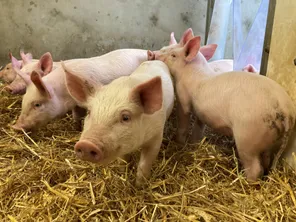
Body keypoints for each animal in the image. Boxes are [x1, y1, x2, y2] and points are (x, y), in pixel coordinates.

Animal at [11, 48, 148, 132]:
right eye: (23, 102)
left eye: (37, 104)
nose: (16, 127)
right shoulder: (75, 104)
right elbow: (76, 116)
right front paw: (75, 127)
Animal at [148, 28, 296, 181]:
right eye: (164, 47)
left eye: (173, 55)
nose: (152, 53)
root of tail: (286, 111)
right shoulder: (200, 111)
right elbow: (198, 127)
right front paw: (194, 143)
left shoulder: (183, 98)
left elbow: (183, 120)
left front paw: (178, 142)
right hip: (269, 137)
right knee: (266, 159)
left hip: (248, 137)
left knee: (255, 168)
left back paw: (245, 180)